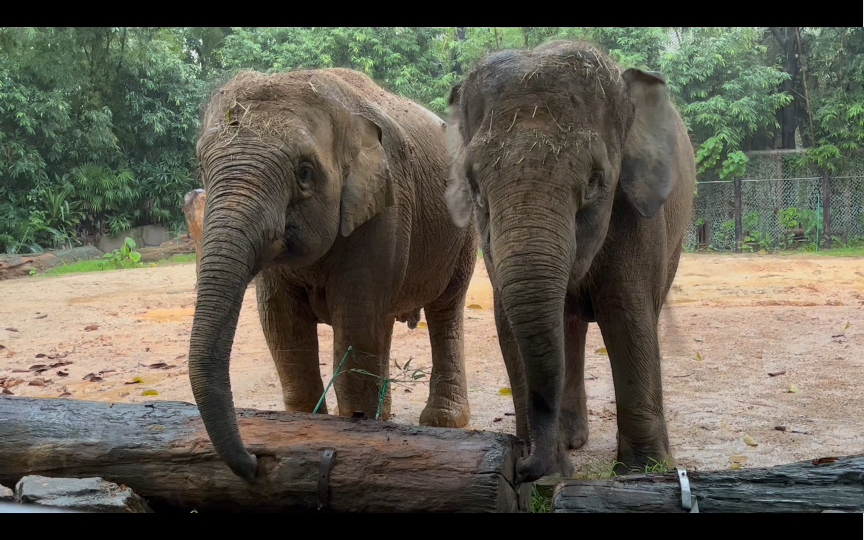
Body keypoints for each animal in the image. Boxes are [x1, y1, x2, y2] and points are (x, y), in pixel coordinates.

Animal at [190, 66, 482, 480]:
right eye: (202, 166)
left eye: (304, 173)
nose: (253, 462)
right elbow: (282, 328)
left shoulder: (384, 210)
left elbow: (353, 324)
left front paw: (355, 429)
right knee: (384, 323)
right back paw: (389, 416)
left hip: (463, 230)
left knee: (444, 311)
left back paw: (442, 422)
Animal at [446, 40, 696, 484]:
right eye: (473, 184)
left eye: (596, 181)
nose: (524, 466)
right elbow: (509, 323)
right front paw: (550, 469)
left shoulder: (636, 212)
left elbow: (628, 315)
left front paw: (640, 472)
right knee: (569, 323)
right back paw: (572, 438)